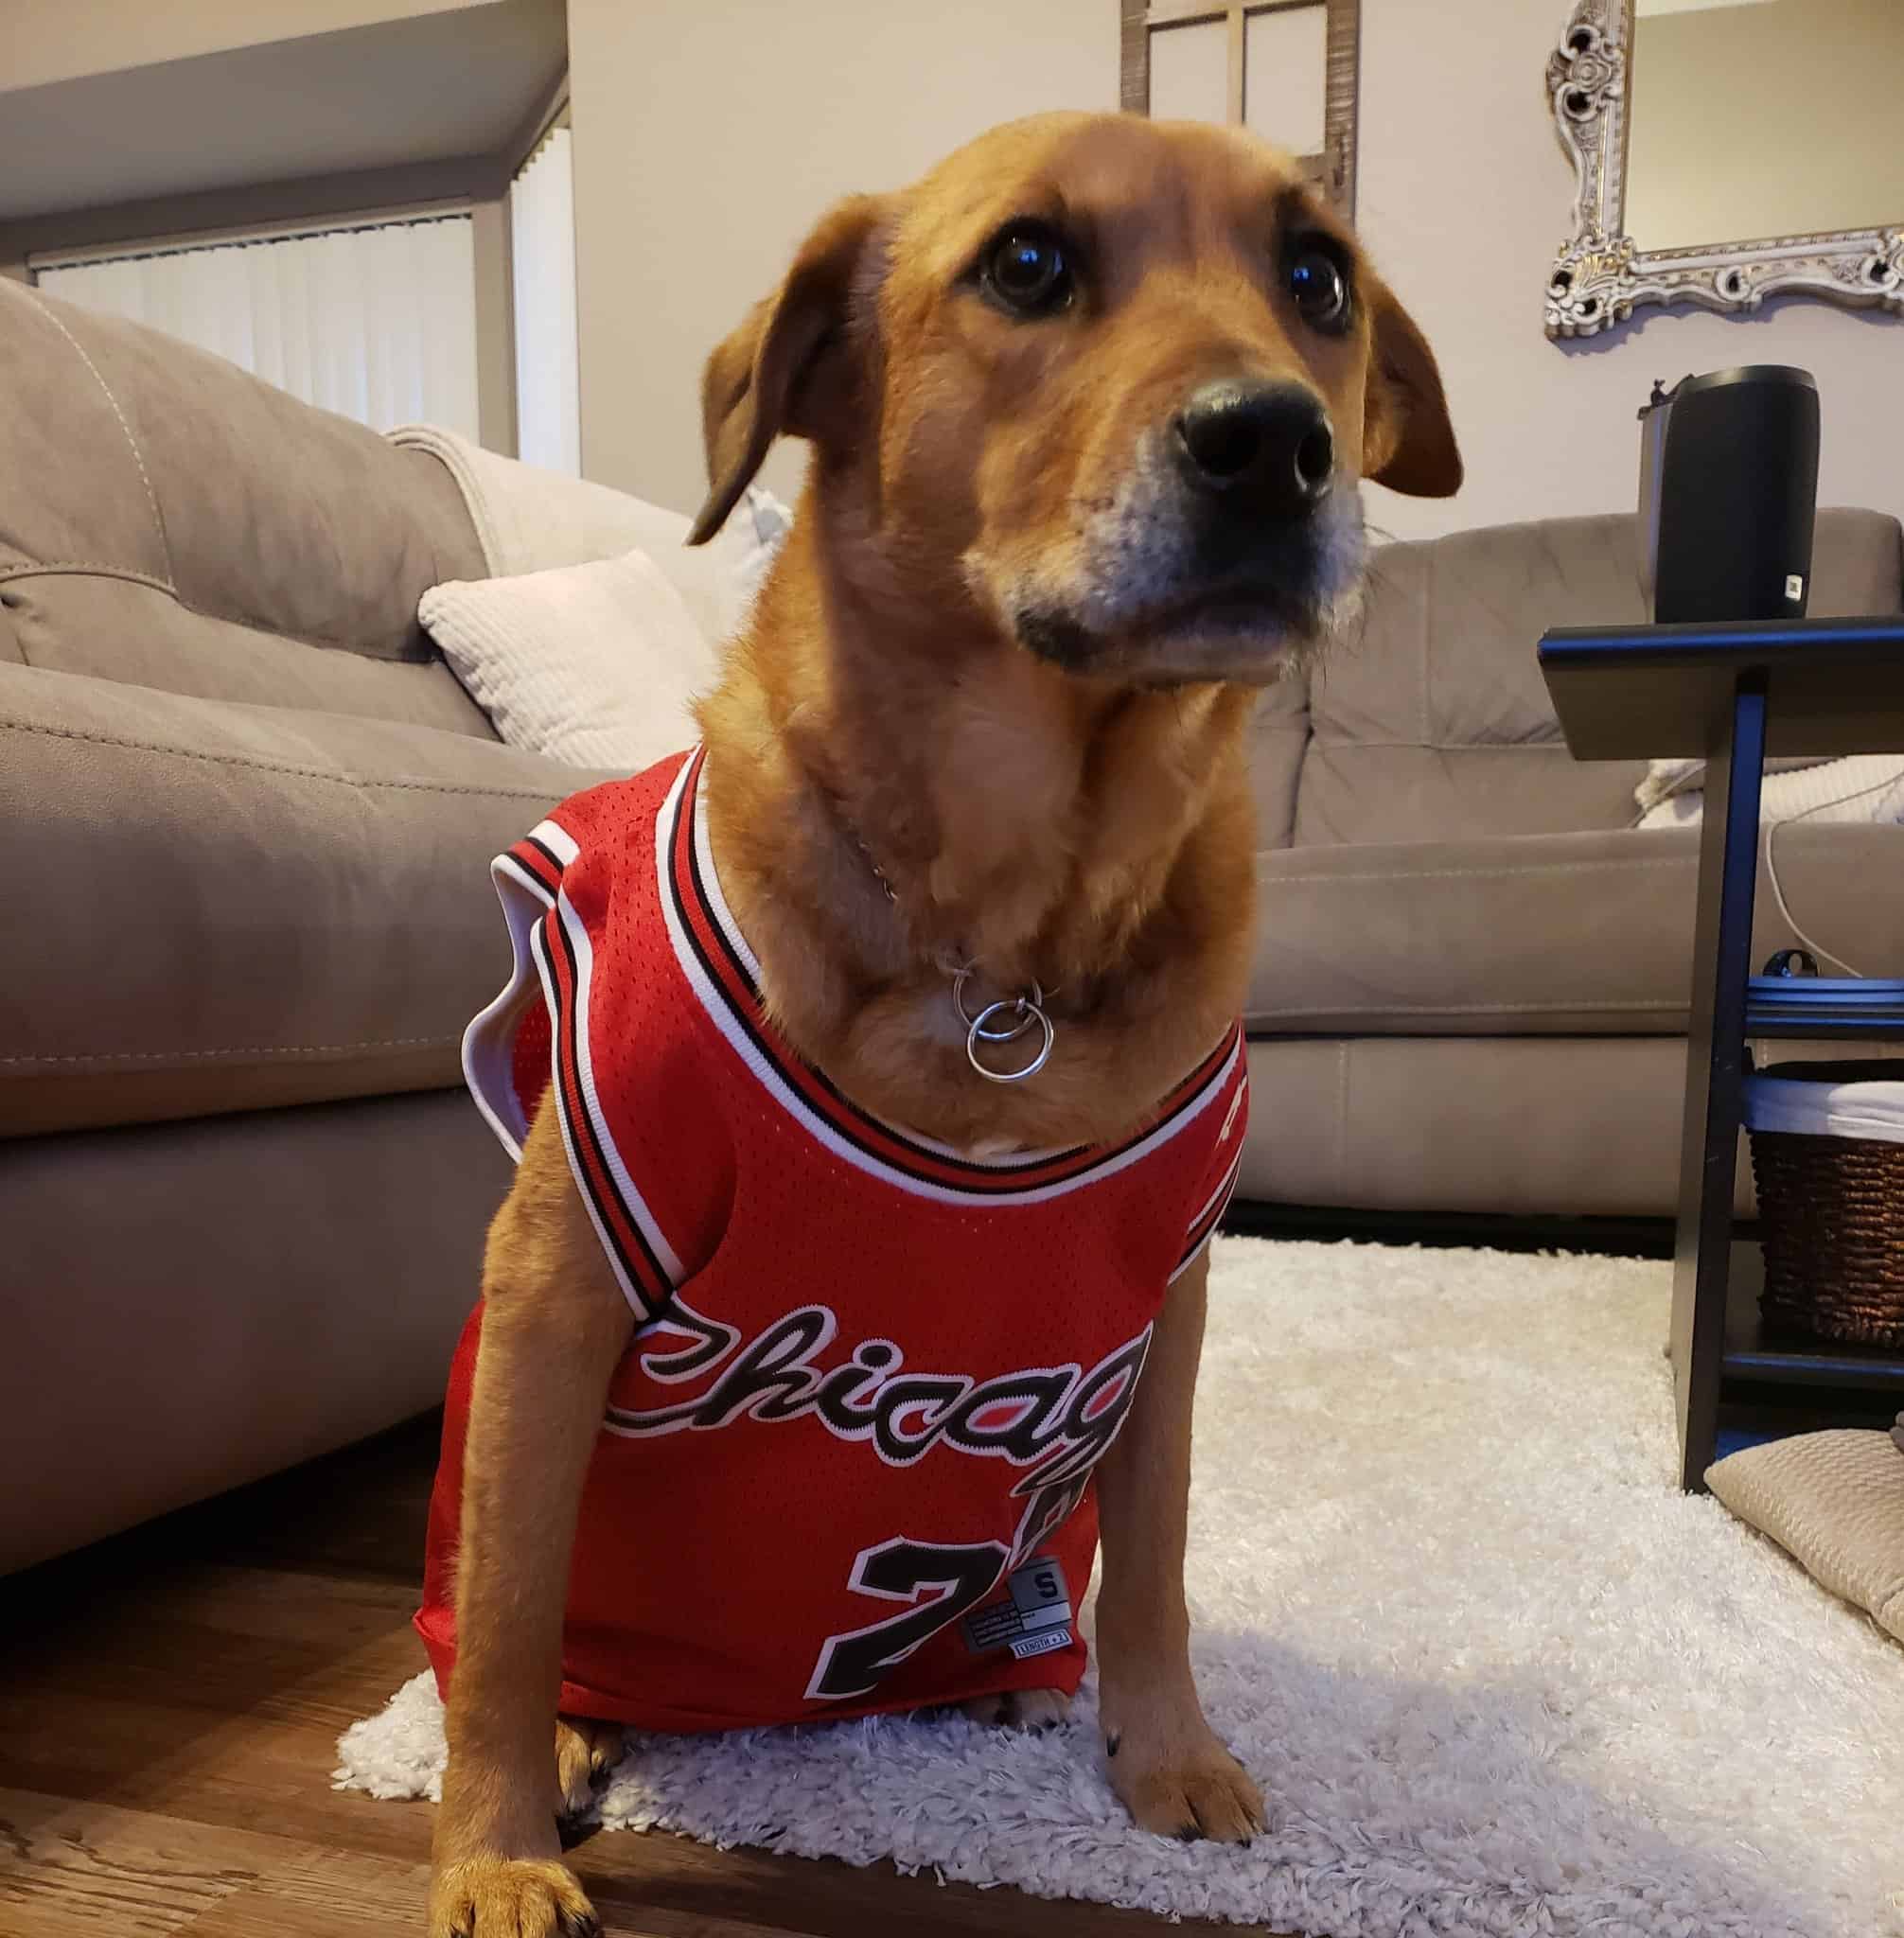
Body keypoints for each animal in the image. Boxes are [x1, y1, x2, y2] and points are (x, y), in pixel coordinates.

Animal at [424, 110, 1450, 1938]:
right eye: (1027, 262)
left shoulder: (1168, 1303)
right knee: (512, 1617)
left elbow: (1157, 1562)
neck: (1004, 939)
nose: (1279, 442)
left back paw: (1005, 1674)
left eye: (1318, 276)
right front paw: (491, 1843)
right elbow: (513, 1607)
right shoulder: (556, 1288)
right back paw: (576, 1732)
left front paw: (1163, 1752)